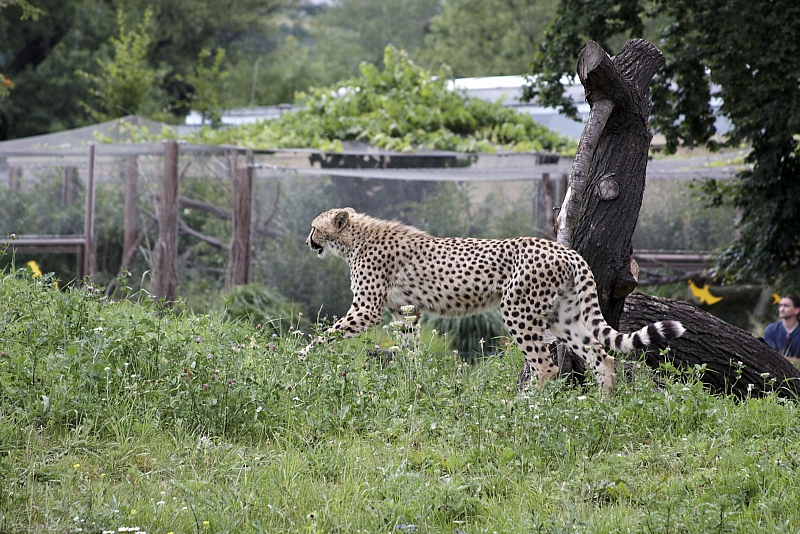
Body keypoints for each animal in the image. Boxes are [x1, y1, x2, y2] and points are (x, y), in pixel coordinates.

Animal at [296, 209, 684, 398]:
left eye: (314, 227)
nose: (307, 241)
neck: (355, 239)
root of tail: (566, 249)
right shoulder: (406, 311)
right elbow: (411, 349)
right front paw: (413, 380)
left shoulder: (367, 309)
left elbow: (327, 334)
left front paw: (300, 357)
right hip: (565, 316)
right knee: (602, 357)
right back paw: (602, 408)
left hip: (517, 309)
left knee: (546, 366)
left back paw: (525, 406)